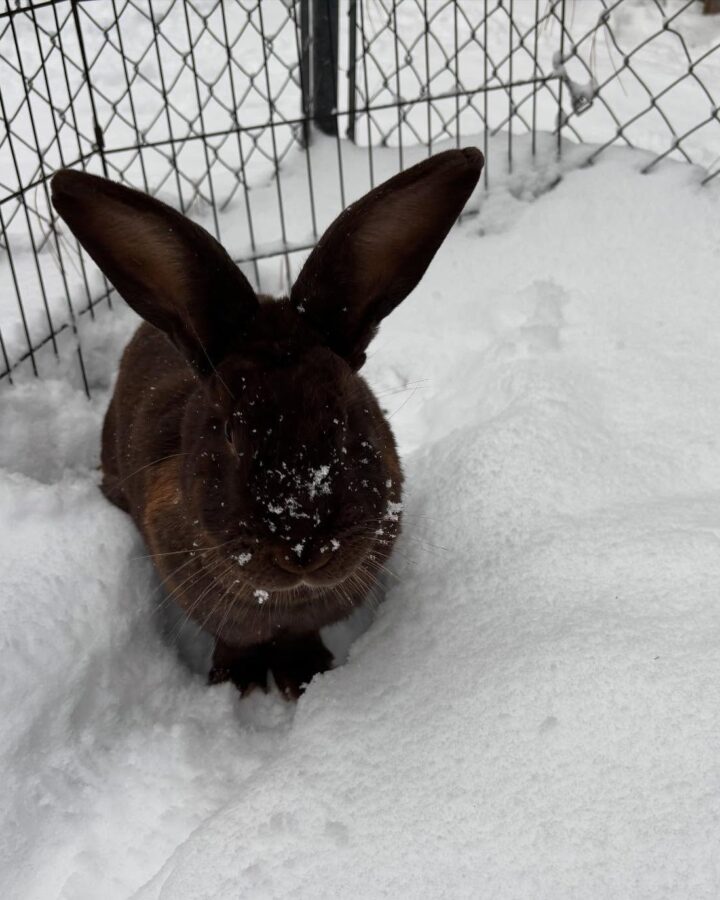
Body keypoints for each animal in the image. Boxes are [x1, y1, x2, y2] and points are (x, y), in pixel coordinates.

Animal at [51, 147, 483, 698]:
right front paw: (232, 684)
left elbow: (299, 637)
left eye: (347, 417)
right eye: (228, 431)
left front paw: (306, 677)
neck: (284, 599)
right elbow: (235, 640)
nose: (301, 547)